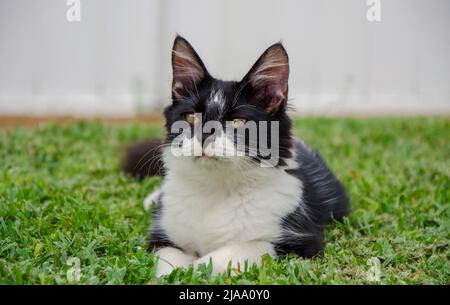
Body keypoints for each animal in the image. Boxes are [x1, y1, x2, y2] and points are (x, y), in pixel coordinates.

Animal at [123, 35, 352, 276]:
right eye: (191, 117)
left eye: (238, 122)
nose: (205, 134)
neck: (215, 190)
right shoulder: (162, 237)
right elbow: (168, 262)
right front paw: (177, 272)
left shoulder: (301, 242)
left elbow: (234, 252)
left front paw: (195, 270)